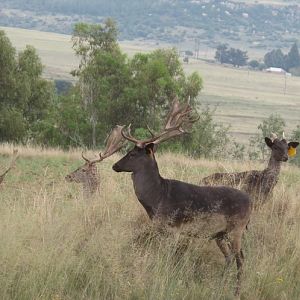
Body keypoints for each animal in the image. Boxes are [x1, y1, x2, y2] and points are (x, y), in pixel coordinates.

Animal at [112, 99, 251, 298]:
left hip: (237, 228)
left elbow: (170, 257)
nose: (115, 165)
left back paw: (234, 292)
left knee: (240, 258)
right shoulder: (161, 228)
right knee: (230, 256)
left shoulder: (175, 228)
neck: (158, 197)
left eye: (132, 154)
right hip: (220, 234)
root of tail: (251, 202)